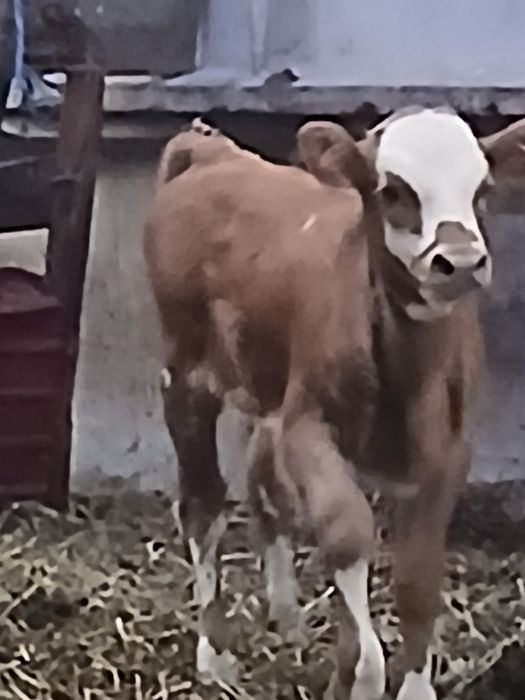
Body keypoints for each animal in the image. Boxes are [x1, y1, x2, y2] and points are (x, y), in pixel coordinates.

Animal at [144, 111, 525, 700]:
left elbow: (419, 575)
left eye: (481, 190)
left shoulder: (449, 454)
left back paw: (286, 617)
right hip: (186, 376)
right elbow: (346, 533)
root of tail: (215, 154)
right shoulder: (308, 429)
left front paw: (414, 686)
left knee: (263, 484)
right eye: (393, 191)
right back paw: (215, 654)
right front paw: (361, 673)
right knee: (203, 507)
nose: (461, 263)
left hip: (263, 390)